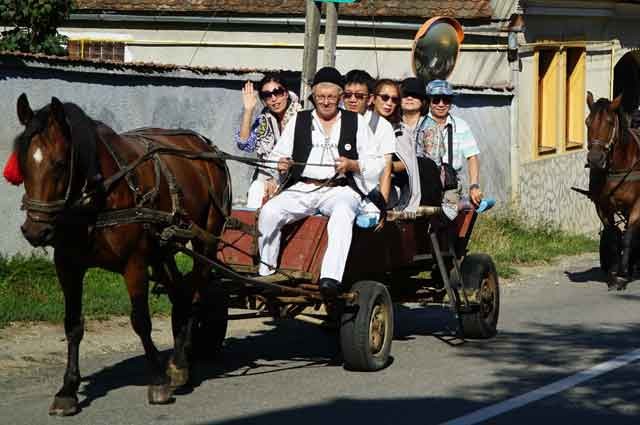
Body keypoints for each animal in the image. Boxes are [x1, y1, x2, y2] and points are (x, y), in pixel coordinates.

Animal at [11, 95, 230, 414]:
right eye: (23, 164)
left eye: (60, 164)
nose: (35, 231)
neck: (96, 198)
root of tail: (205, 145)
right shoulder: (67, 266)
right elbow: (72, 324)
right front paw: (67, 390)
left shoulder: (134, 263)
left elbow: (141, 321)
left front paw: (157, 381)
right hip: (164, 246)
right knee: (180, 293)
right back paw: (181, 361)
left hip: (207, 239)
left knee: (197, 294)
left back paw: (178, 363)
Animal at [584, 91, 640, 290]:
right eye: (587, 122)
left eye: (609, 122)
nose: (595, 159)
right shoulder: (602, 206)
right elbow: (612, 237)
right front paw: (613, 273)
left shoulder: (637, 206)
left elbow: (628, 237)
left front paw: (622, 276)